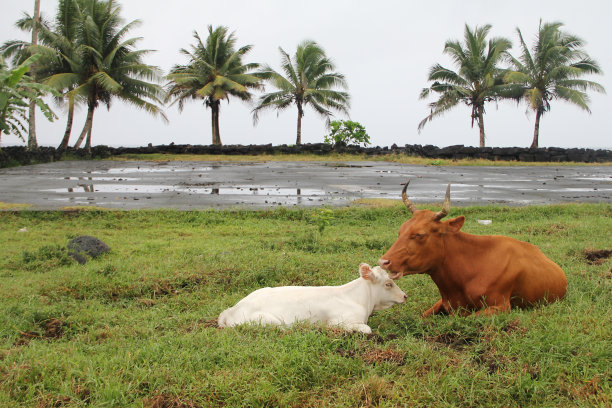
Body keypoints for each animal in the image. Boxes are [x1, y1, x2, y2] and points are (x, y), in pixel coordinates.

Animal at [218, 262, 408, 334]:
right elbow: (367, 329)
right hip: (268, 321)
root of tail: (232, 309)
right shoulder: (340, 321)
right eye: (388, 284)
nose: (405, 296)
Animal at [380, 180, 568, 318]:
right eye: (400, 230)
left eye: (420, 234)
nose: (383, 261)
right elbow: (422, 316)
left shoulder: (501, 307)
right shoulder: (443, 303)